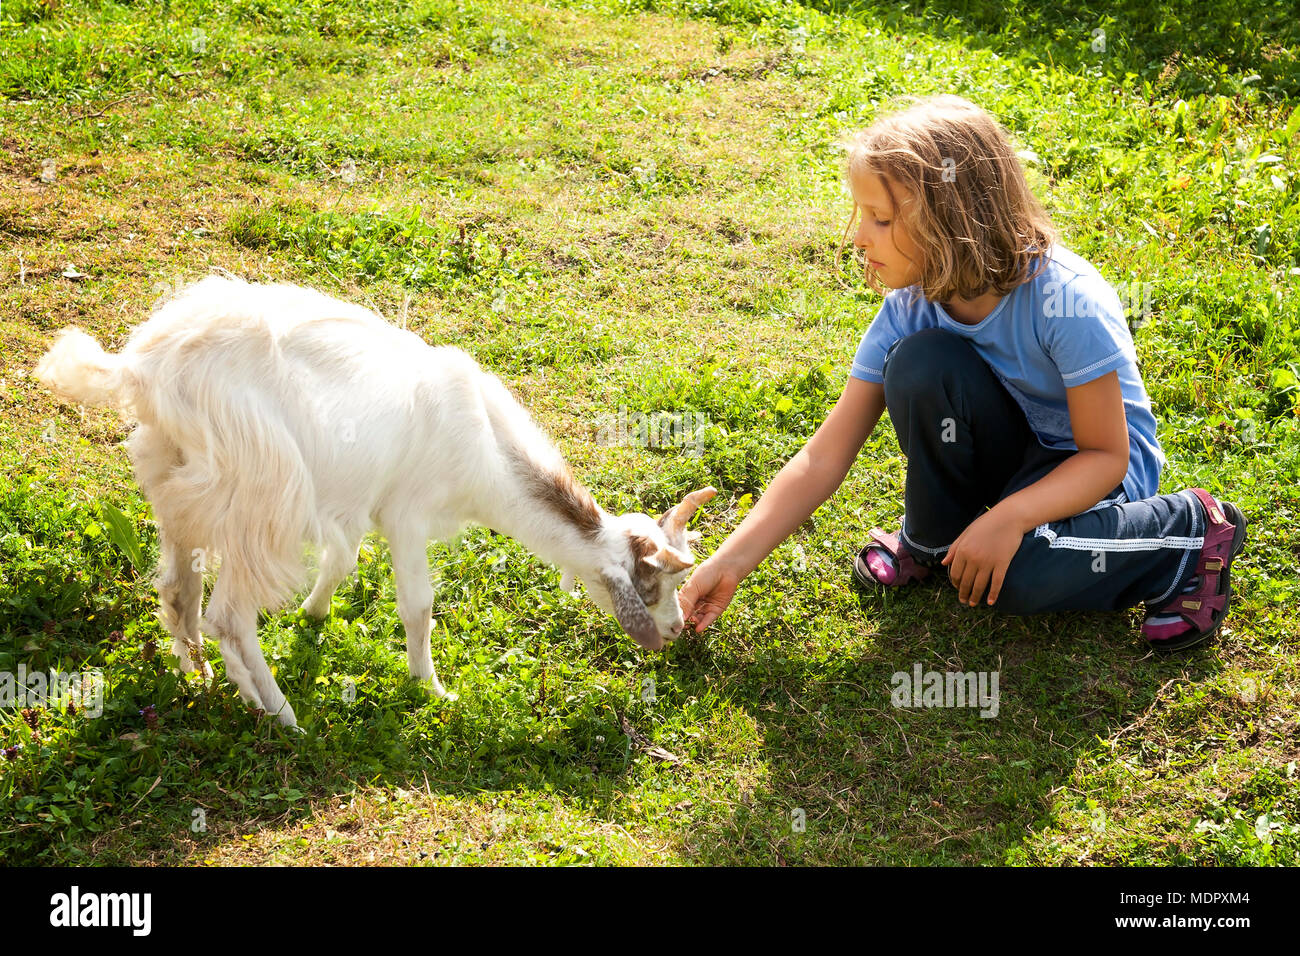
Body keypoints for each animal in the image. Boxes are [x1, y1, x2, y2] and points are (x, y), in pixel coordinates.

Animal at [34, 275, 715, 728]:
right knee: (229, 615)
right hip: (265, 495)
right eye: (649, 583)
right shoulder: (406, 515)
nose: (677, 630)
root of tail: (143, 369)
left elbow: (340, 562)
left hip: (175, 480)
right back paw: (277, 713)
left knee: (180, 590)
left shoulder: (359, 501)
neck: (486, 449)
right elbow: (417, 605)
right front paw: (431, 687)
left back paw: (197, 677)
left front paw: (313, 615)